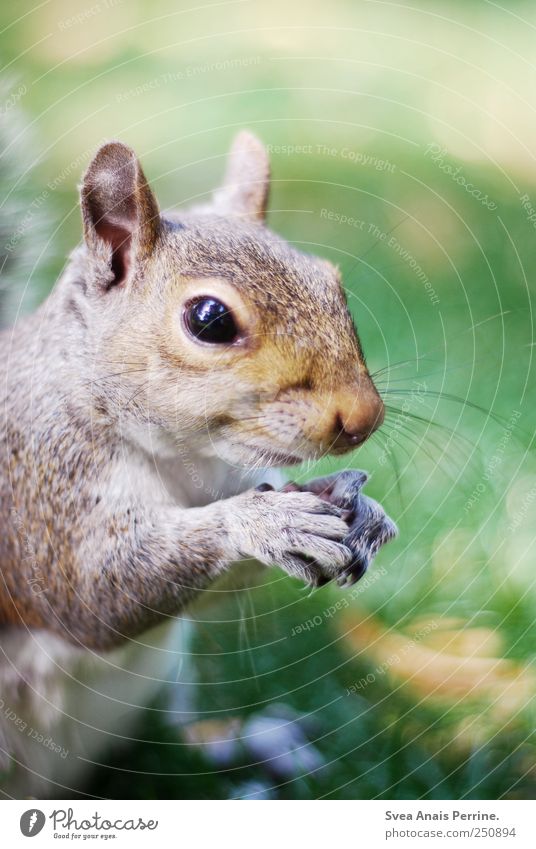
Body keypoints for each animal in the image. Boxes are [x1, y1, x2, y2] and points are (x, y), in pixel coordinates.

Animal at [0, 131, 394, 796]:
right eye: (209, 319)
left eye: (333, 283)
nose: (363, 417)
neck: (189, 460)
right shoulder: (44, 484)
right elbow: (92, 596)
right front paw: (261, 521)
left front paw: (360, 507)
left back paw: (252, 741)